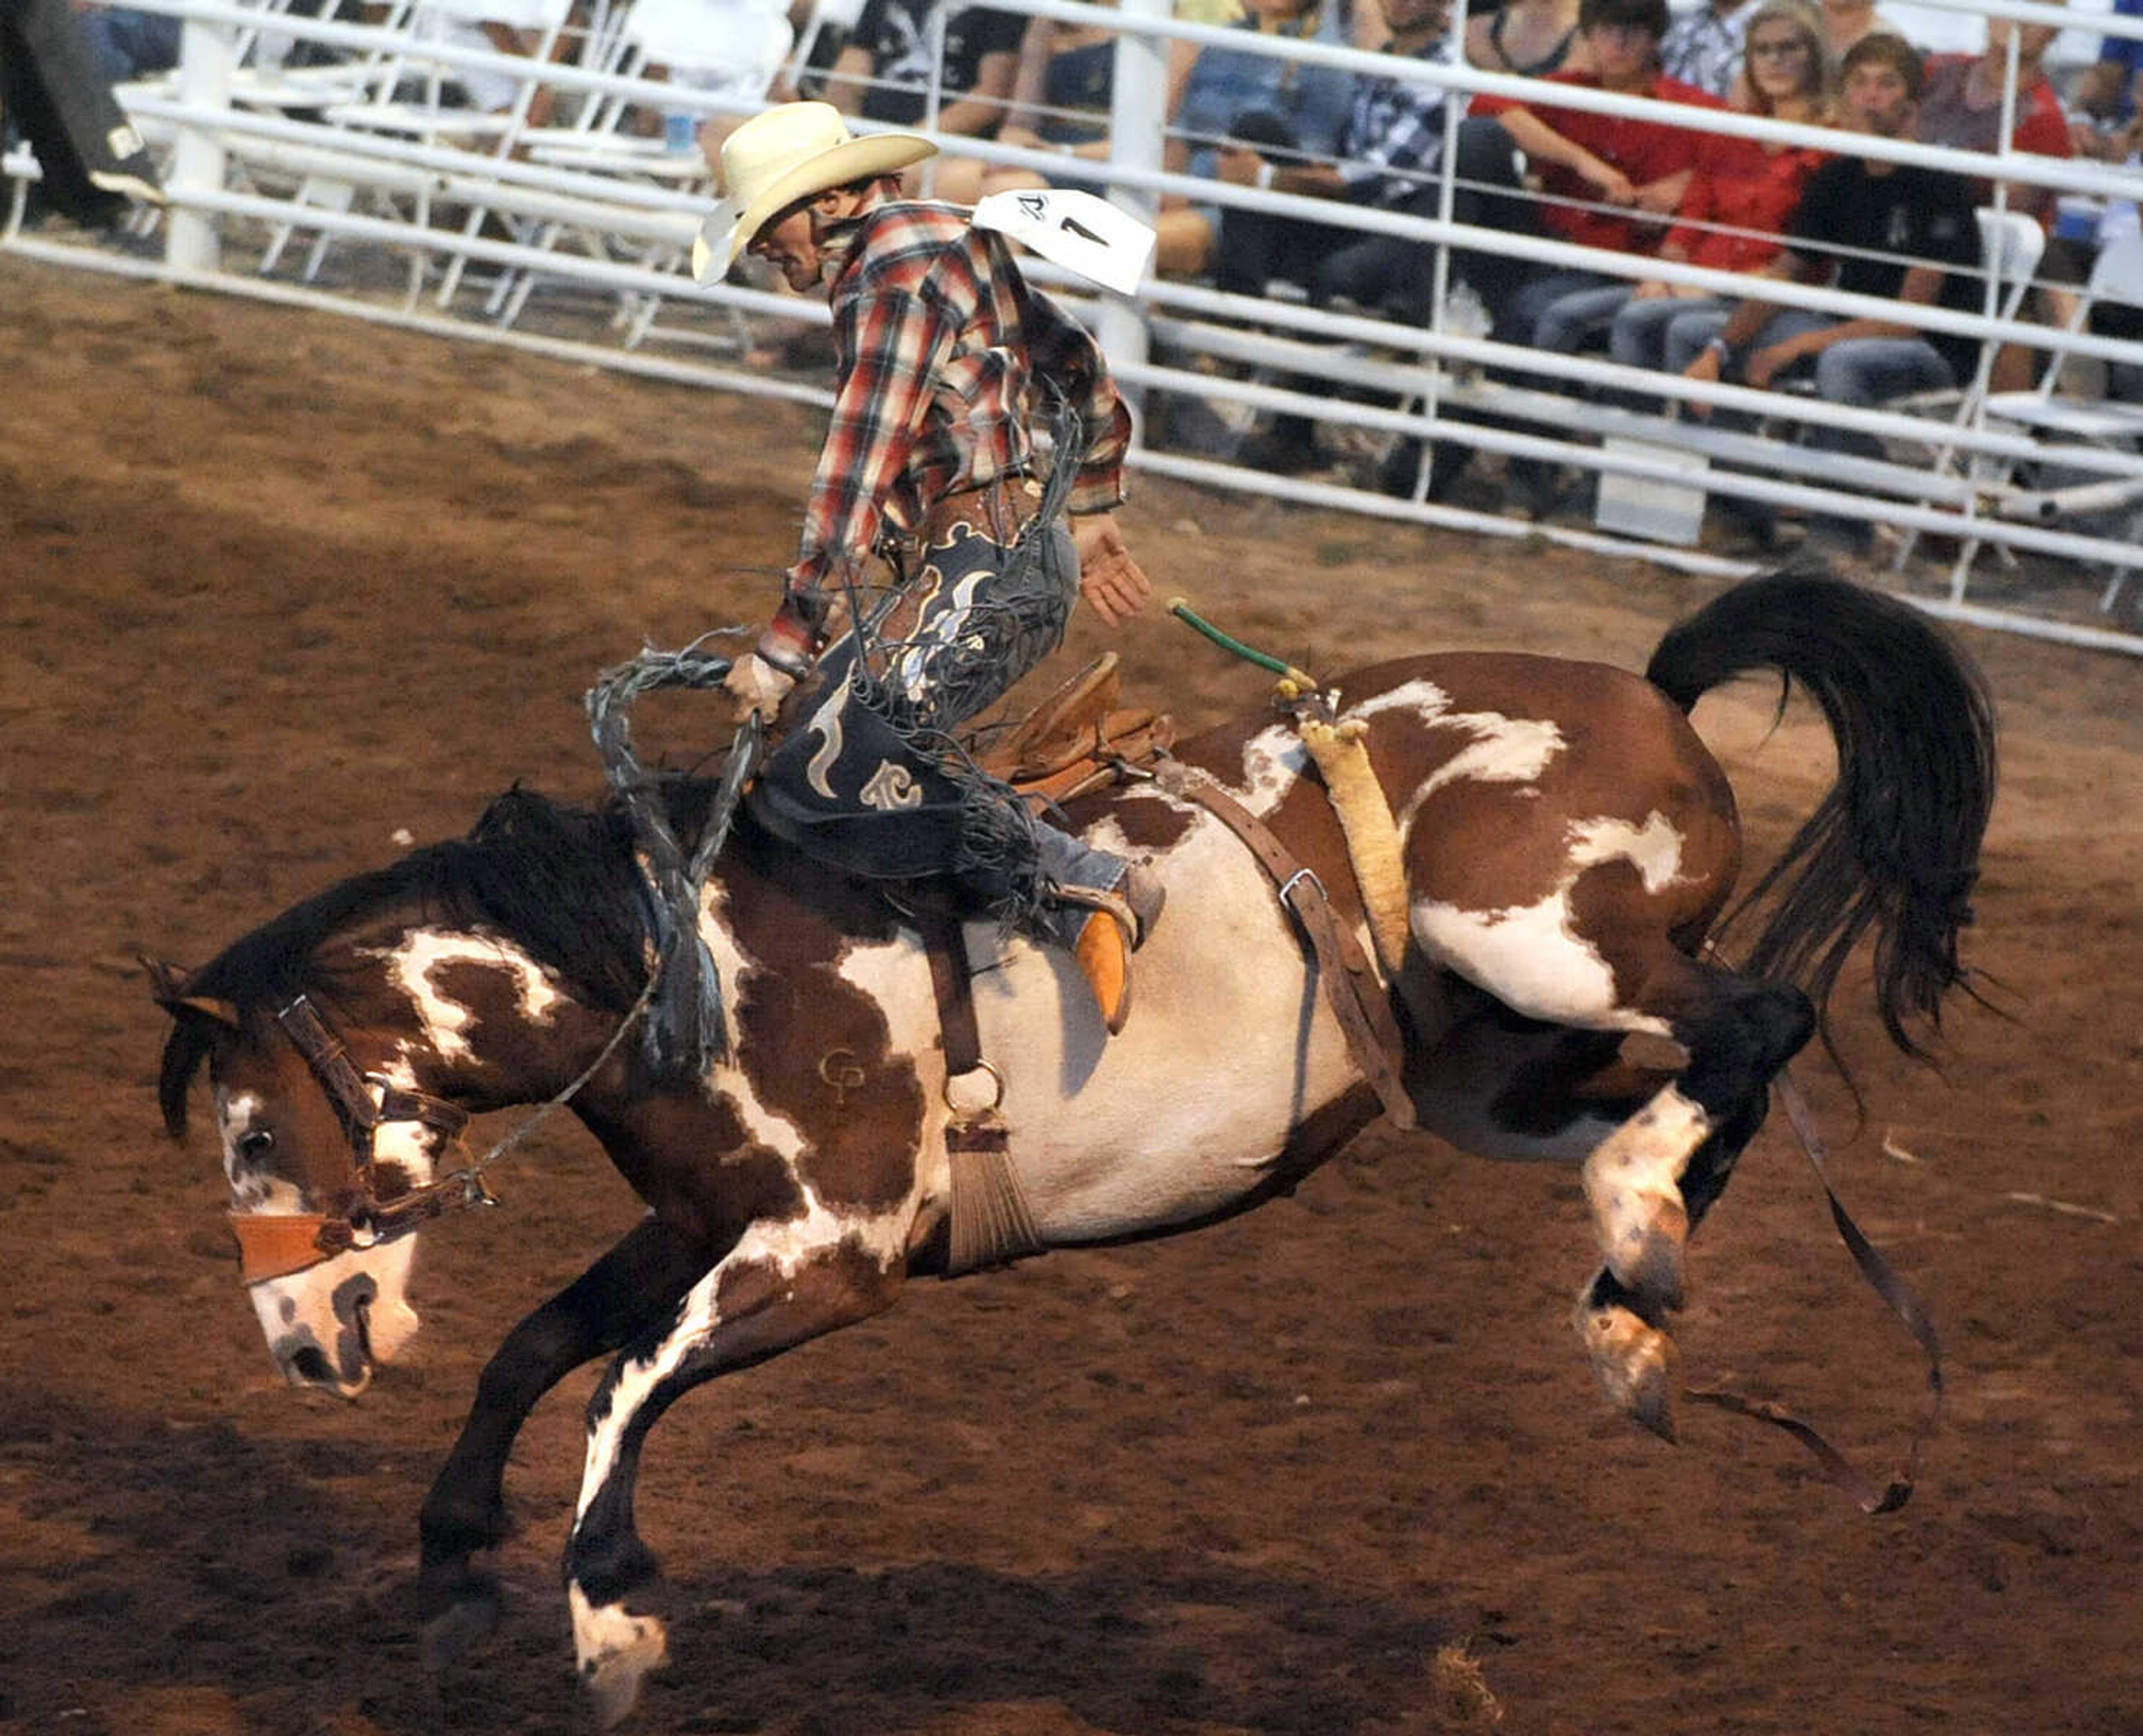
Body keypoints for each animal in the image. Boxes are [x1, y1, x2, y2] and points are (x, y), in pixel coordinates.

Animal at [155, 565, 1988, 1714]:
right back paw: (1629, 1289)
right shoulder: (699, 1223)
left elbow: (618, 1384)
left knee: (1758, 1021)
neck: (686, 962)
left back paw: (1634, 1239)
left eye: (250, 1133)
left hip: (1539, 939)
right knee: (1687, 1083)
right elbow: (538, 1344)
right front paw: (458, 1563)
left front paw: (606, 1617)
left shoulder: (829, 1256)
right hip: (1483, 1056)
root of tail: (1649, 692)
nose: (298, 1342)